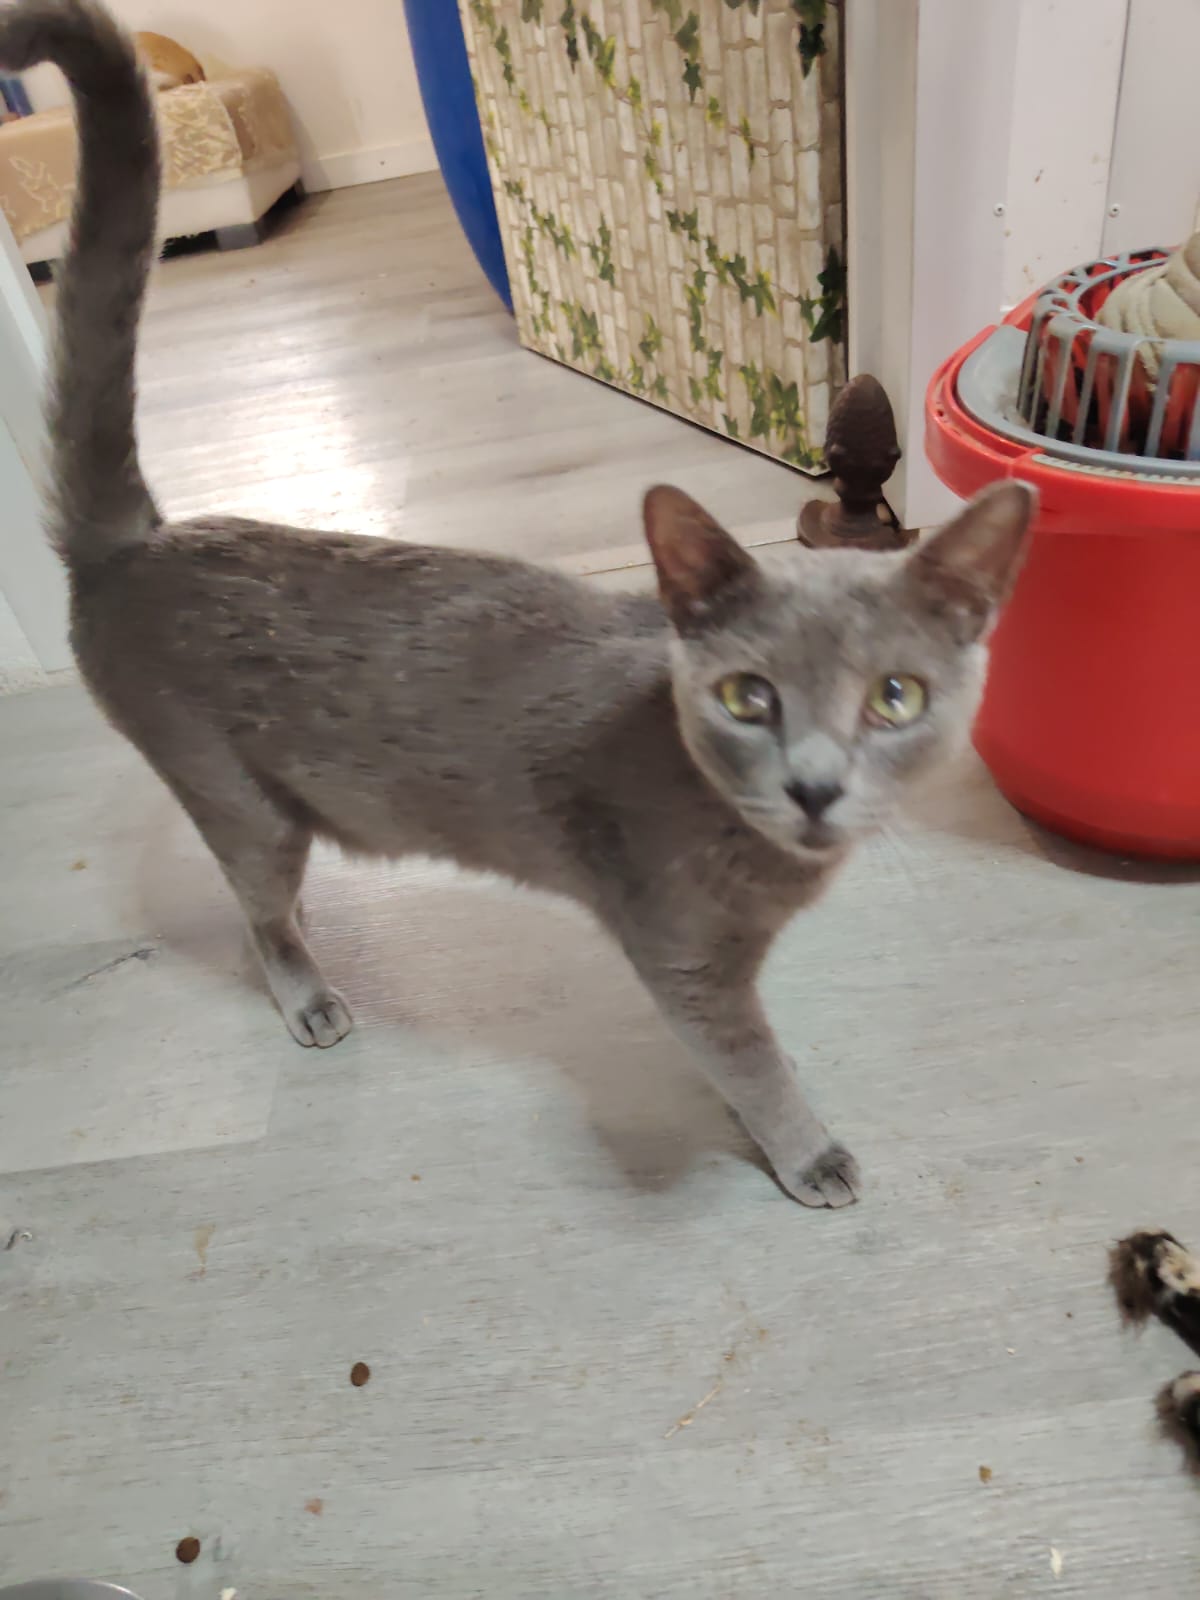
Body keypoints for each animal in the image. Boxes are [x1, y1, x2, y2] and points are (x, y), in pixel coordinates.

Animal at [0, 0, 1034, 1209]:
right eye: (749, 697)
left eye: (895, 697)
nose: (816, 786)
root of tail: (137, 543)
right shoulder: (682, 956)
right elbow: (752, 1059)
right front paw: (810, 1155)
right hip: (237, 797)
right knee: (259, 912)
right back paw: (311, 998)